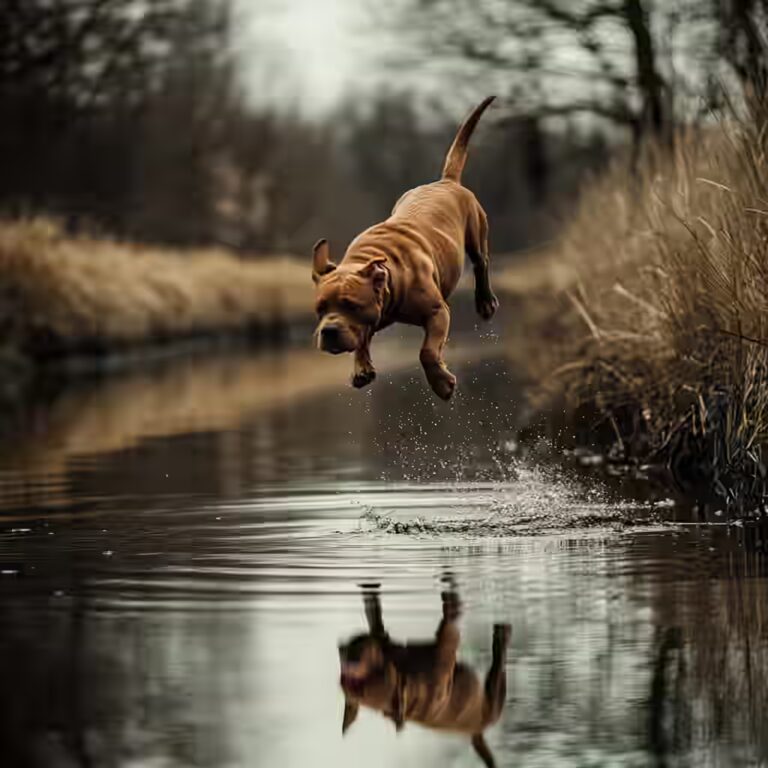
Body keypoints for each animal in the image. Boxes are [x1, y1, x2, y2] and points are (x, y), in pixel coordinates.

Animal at [312, 94, 498, 402]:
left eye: (351, 305)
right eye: (319, 309)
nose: (328, 331)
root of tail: (446, 180)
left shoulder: (437, 312)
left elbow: (427, 352)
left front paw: (442, 384)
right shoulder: (371, 319)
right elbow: (363, 338)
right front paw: (361, 368)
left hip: (476, 229)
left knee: (481, 263)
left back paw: (485, 302)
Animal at [338, 584, 510, 764]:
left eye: (368, 676)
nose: (346, 659)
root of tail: (475, 732)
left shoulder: (382, 637)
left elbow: (373, 612)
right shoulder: (447, 639)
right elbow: (451, 612)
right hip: (490, 707)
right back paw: (502, 636)